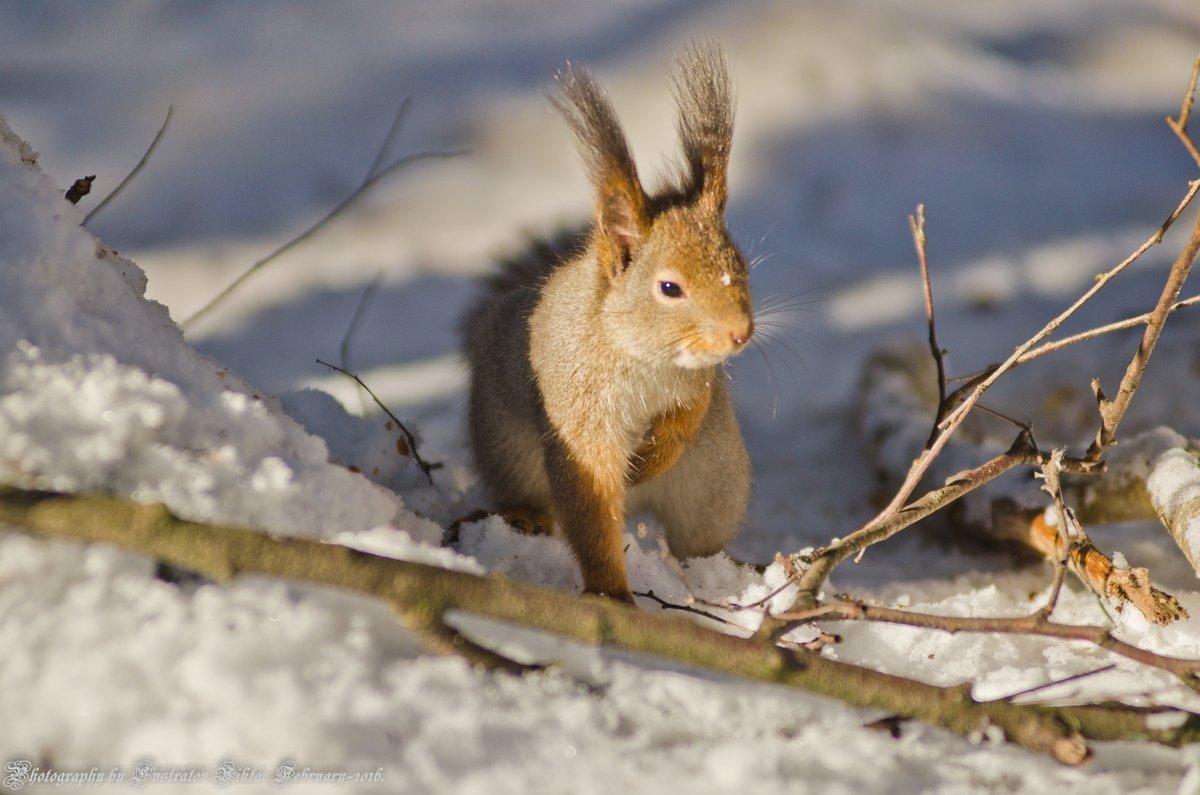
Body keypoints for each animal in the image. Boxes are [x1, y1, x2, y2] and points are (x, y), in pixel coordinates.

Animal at [463, 45, 753, 605]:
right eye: (669, 288)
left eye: (741, 265)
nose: (740, 333)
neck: (645, 358)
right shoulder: (579, 424)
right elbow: (592, 504)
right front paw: (610, 593)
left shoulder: (696, 389)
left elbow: (684, 422)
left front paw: (650, 459)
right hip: (507, 451)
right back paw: (527, 516)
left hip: (717, 484)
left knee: (698, 539)